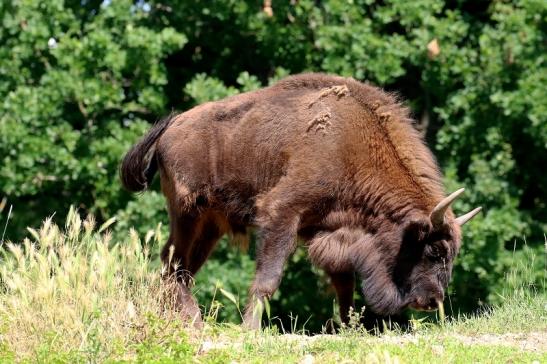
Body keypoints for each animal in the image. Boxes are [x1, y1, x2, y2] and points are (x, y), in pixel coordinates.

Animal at [120, 72, 480, 328]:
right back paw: (193, 322)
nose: (431, 301)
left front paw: (348, 327)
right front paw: (250, 329)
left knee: (179, 269)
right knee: (173, 264)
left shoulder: (331, 232)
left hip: (210, 226)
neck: (352, 143)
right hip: (187, 214)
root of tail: (172, 126)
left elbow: (344, 283)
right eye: (433, 250)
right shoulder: (282, 214)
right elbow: (268, 279)